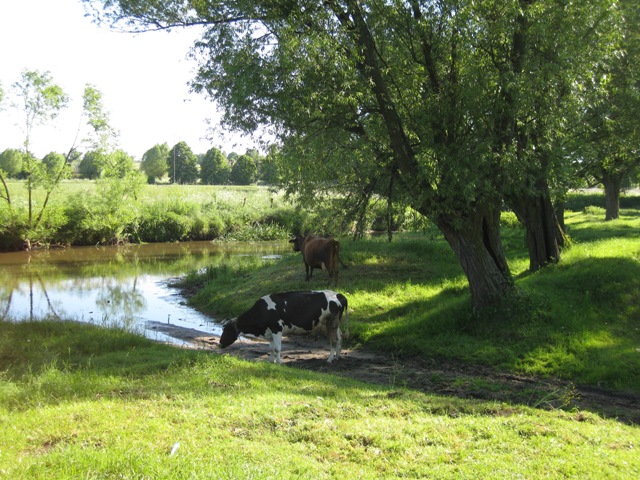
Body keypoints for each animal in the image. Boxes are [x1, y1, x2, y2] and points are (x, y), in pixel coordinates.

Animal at [220, 290, 350, 366]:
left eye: (227, 330)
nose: (220, 343)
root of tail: (339, 294)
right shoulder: (270, 332)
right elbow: (271, 348)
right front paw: (271, 361)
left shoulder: (277, 328)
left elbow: (277, 348)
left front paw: (279, 362)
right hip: (335, 323)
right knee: (340, 337)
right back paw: (337, 357)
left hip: (332, 322)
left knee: (334, 340)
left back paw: (329, 359)